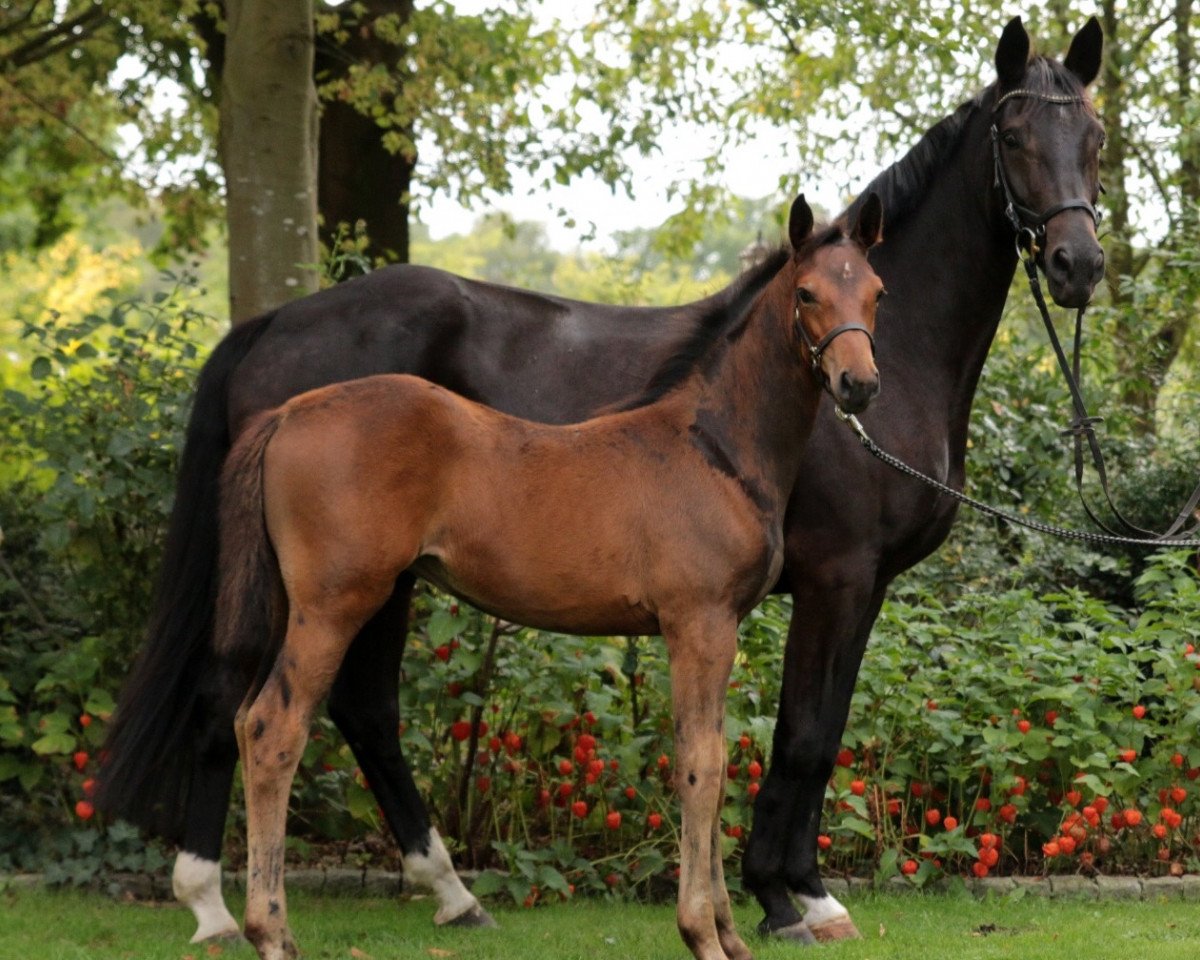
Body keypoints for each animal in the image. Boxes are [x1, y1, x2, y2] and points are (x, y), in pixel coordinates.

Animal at [214, 196, 884, 960]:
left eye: (876, 292)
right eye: (807, 293)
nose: (860, 384)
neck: (712, 447)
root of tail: (288, 413)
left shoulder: (713, 628)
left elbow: (709, 766)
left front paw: (730, 935)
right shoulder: (700, 624)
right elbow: (703, 766)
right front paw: (702, 934)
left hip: (291, 604)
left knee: (245, 718)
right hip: (332, 606)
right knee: (274, 729)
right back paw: (270, 931)